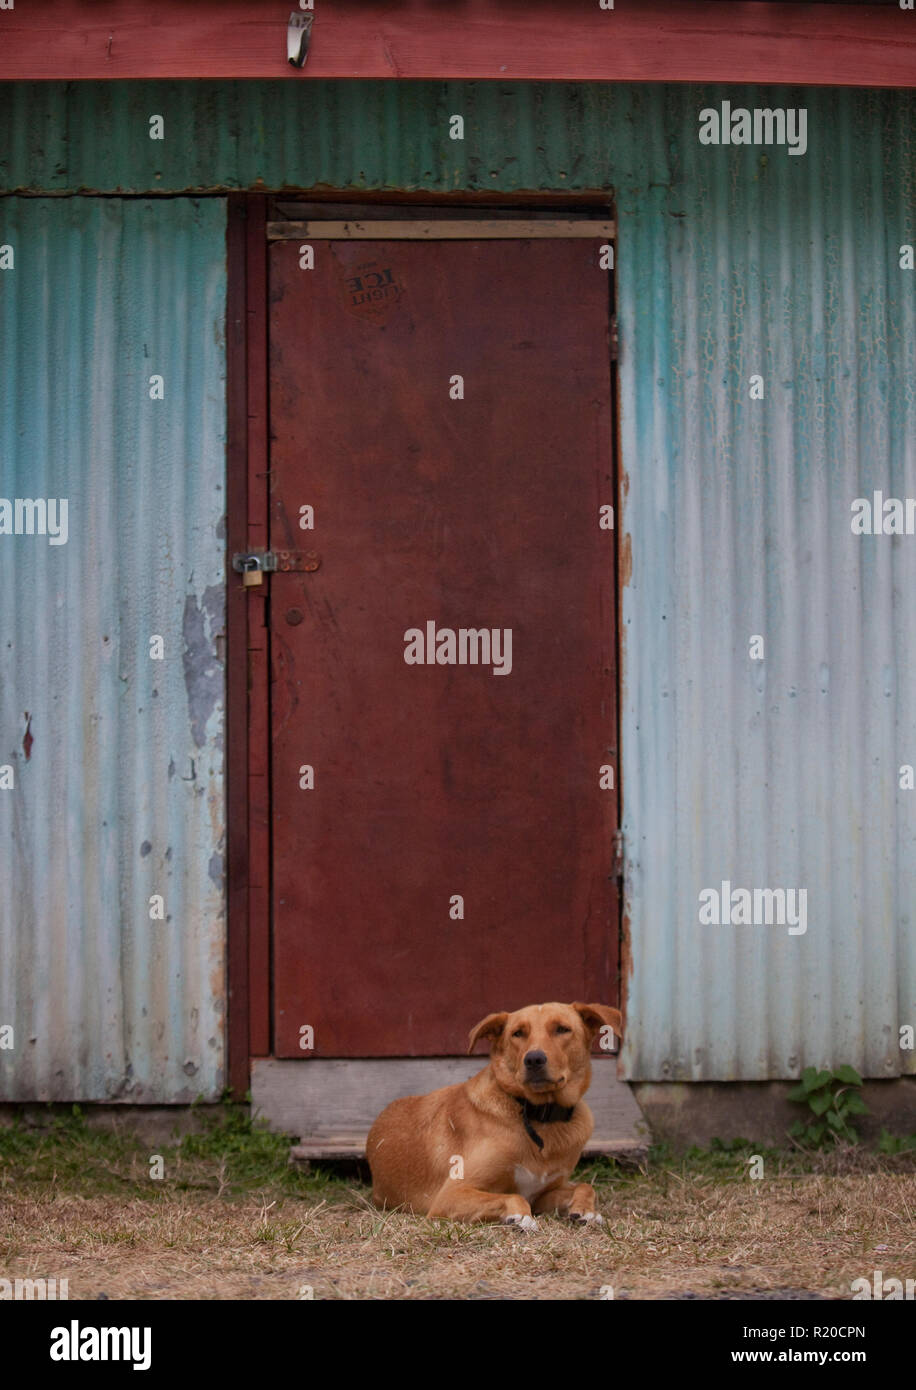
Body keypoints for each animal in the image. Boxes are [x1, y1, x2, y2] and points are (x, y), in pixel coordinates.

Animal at [366, 1000, 622, 1228]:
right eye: (518, 1033)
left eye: (562, 1029)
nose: (534, 1059)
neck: (538, 1115)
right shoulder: (450, 1195)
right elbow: (513, 1196)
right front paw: (520, 1217)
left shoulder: (542, 1195)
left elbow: (586, 1186)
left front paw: (586, 1211)